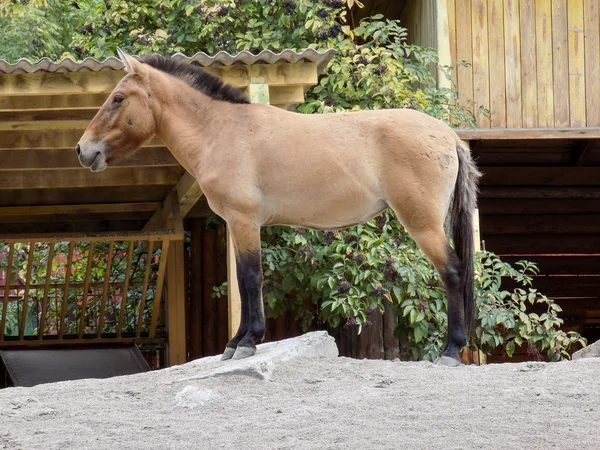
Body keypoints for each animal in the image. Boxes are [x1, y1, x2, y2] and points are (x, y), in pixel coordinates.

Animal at [75, 50, 480, 366]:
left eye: (117, 98)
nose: (83, 150)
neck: (219, 131)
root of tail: (448, 135)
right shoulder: (237, 225)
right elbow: (242, 280)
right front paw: (235, 343)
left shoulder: (244, 220)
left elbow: (251, 278)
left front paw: (248, 342)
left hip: (423, 223)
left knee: (453, 272)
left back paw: (450, 351)